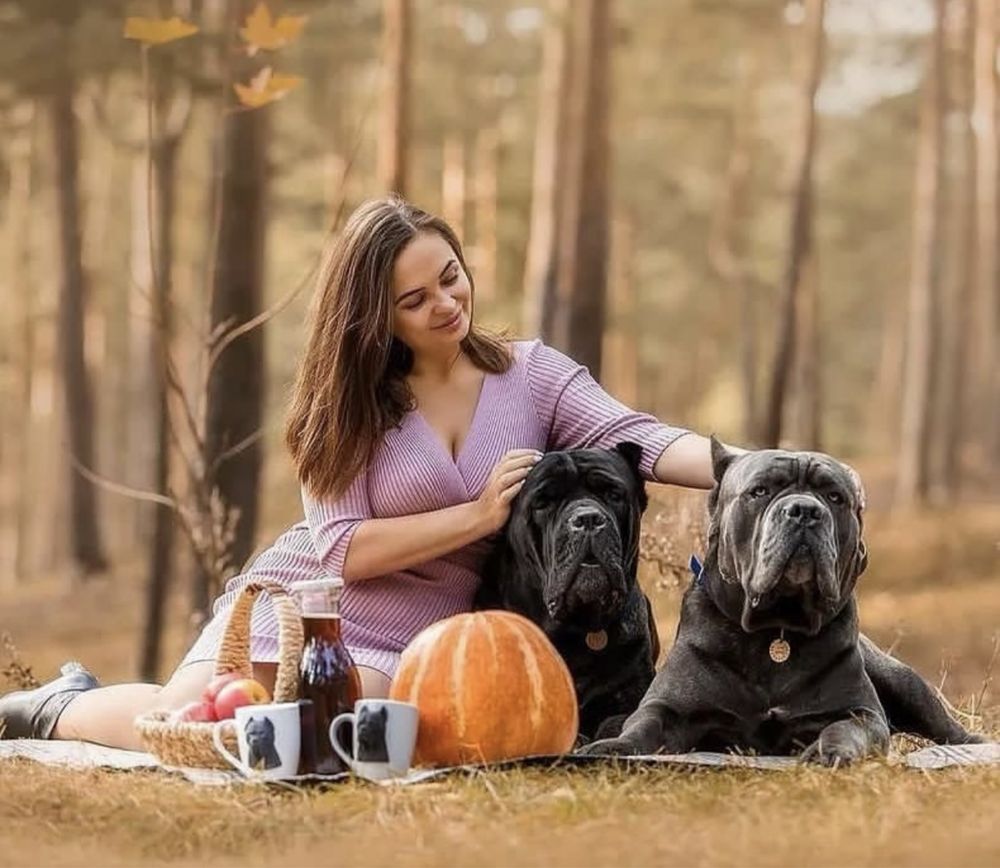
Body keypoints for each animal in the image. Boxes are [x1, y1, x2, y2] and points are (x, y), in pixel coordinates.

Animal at [474, 440, 660, 740]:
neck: (577, 629)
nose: (588, 519)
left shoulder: (634, 693)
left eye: (613, 494)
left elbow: (617, 722)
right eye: (543, 502)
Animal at [584, 440, 980, 768]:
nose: (804, 510)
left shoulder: (860, 712)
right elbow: (643, 724)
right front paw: (613, 746)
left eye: (835, 497)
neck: (777, 630)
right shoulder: (671, 707)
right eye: (760, 491)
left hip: (902, 681)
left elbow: (845, 729)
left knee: (945, 727)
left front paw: (828, 752)